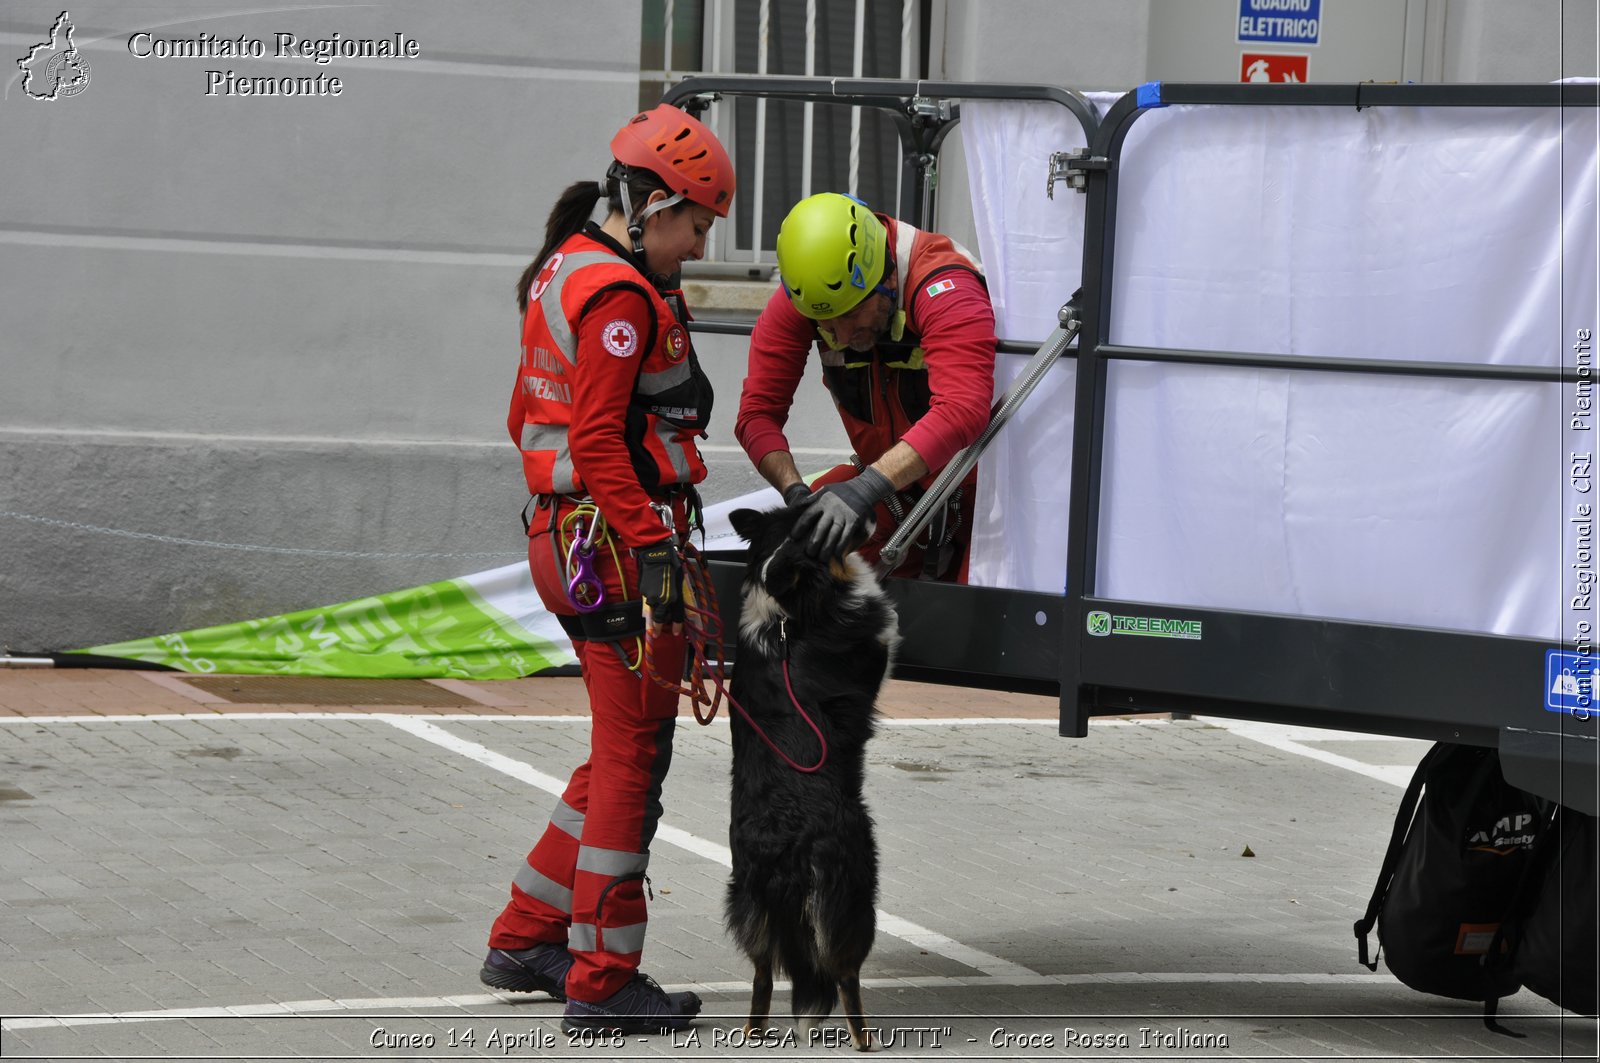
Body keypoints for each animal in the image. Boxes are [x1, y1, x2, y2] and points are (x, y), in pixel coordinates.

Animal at [726, 502, 902, 1050]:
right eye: (825, 537)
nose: (870, 515)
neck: (787, 616)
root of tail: (784, 846)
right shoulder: (876, 642)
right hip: (853, 891)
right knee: (845, 977)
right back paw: (865, 1041)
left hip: (749, 904)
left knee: (761, 979)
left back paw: (754, 1031)